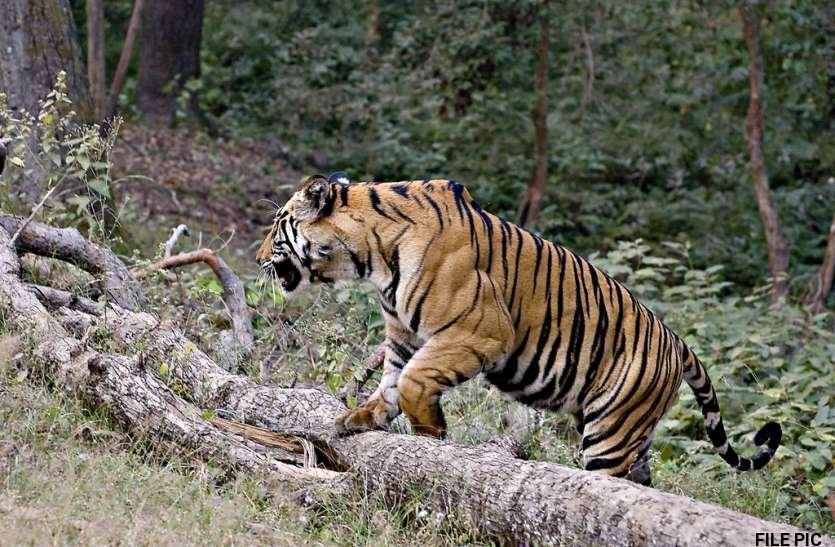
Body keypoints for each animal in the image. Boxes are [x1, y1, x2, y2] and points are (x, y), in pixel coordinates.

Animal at [256, 174, 781, 485]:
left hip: (610, 432)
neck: (370, 258)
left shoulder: (481, 332)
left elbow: (413, 381)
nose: (258, 258)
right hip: (630, 433)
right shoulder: (403, 334)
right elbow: (390, 381)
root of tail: (677, 341)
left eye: (278, 226)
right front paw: (361, 418)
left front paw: (430, 433)